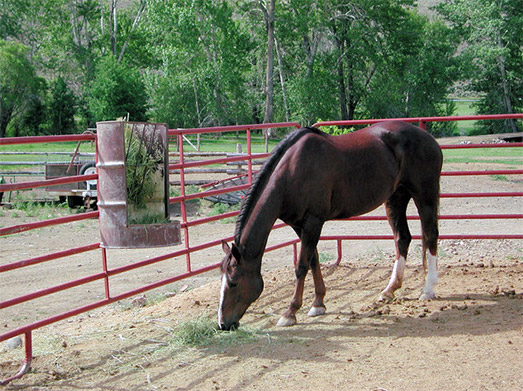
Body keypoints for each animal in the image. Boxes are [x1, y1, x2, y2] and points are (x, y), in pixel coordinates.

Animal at [217, 120, 442, 330]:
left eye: (233, 282)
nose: (223, 324)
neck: (291, 172)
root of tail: (428, 138)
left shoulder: (313, 221)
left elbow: (302, 266)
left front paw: (290, 312)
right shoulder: (299, 225)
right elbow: (314, 260)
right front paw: (318, 303)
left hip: (425, 196)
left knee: (431, 235)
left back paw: (428, 289)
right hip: (396, 198)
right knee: (402, 238)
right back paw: (389, 290)